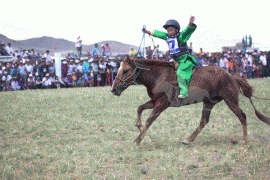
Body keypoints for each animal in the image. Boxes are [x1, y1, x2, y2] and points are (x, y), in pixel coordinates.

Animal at [110, 55, 270, 146]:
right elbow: (140, 108)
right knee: (204, 121)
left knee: (242, 116)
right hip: (209, 102)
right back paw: (188, 139)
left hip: (230, 100)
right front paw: (138, 126)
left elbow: (149, 120)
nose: (113, 89)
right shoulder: (155, 102)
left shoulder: (161, 104)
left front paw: (137, 140)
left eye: (125, 70)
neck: (159, 75)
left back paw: (245, 140)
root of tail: (232, 76)